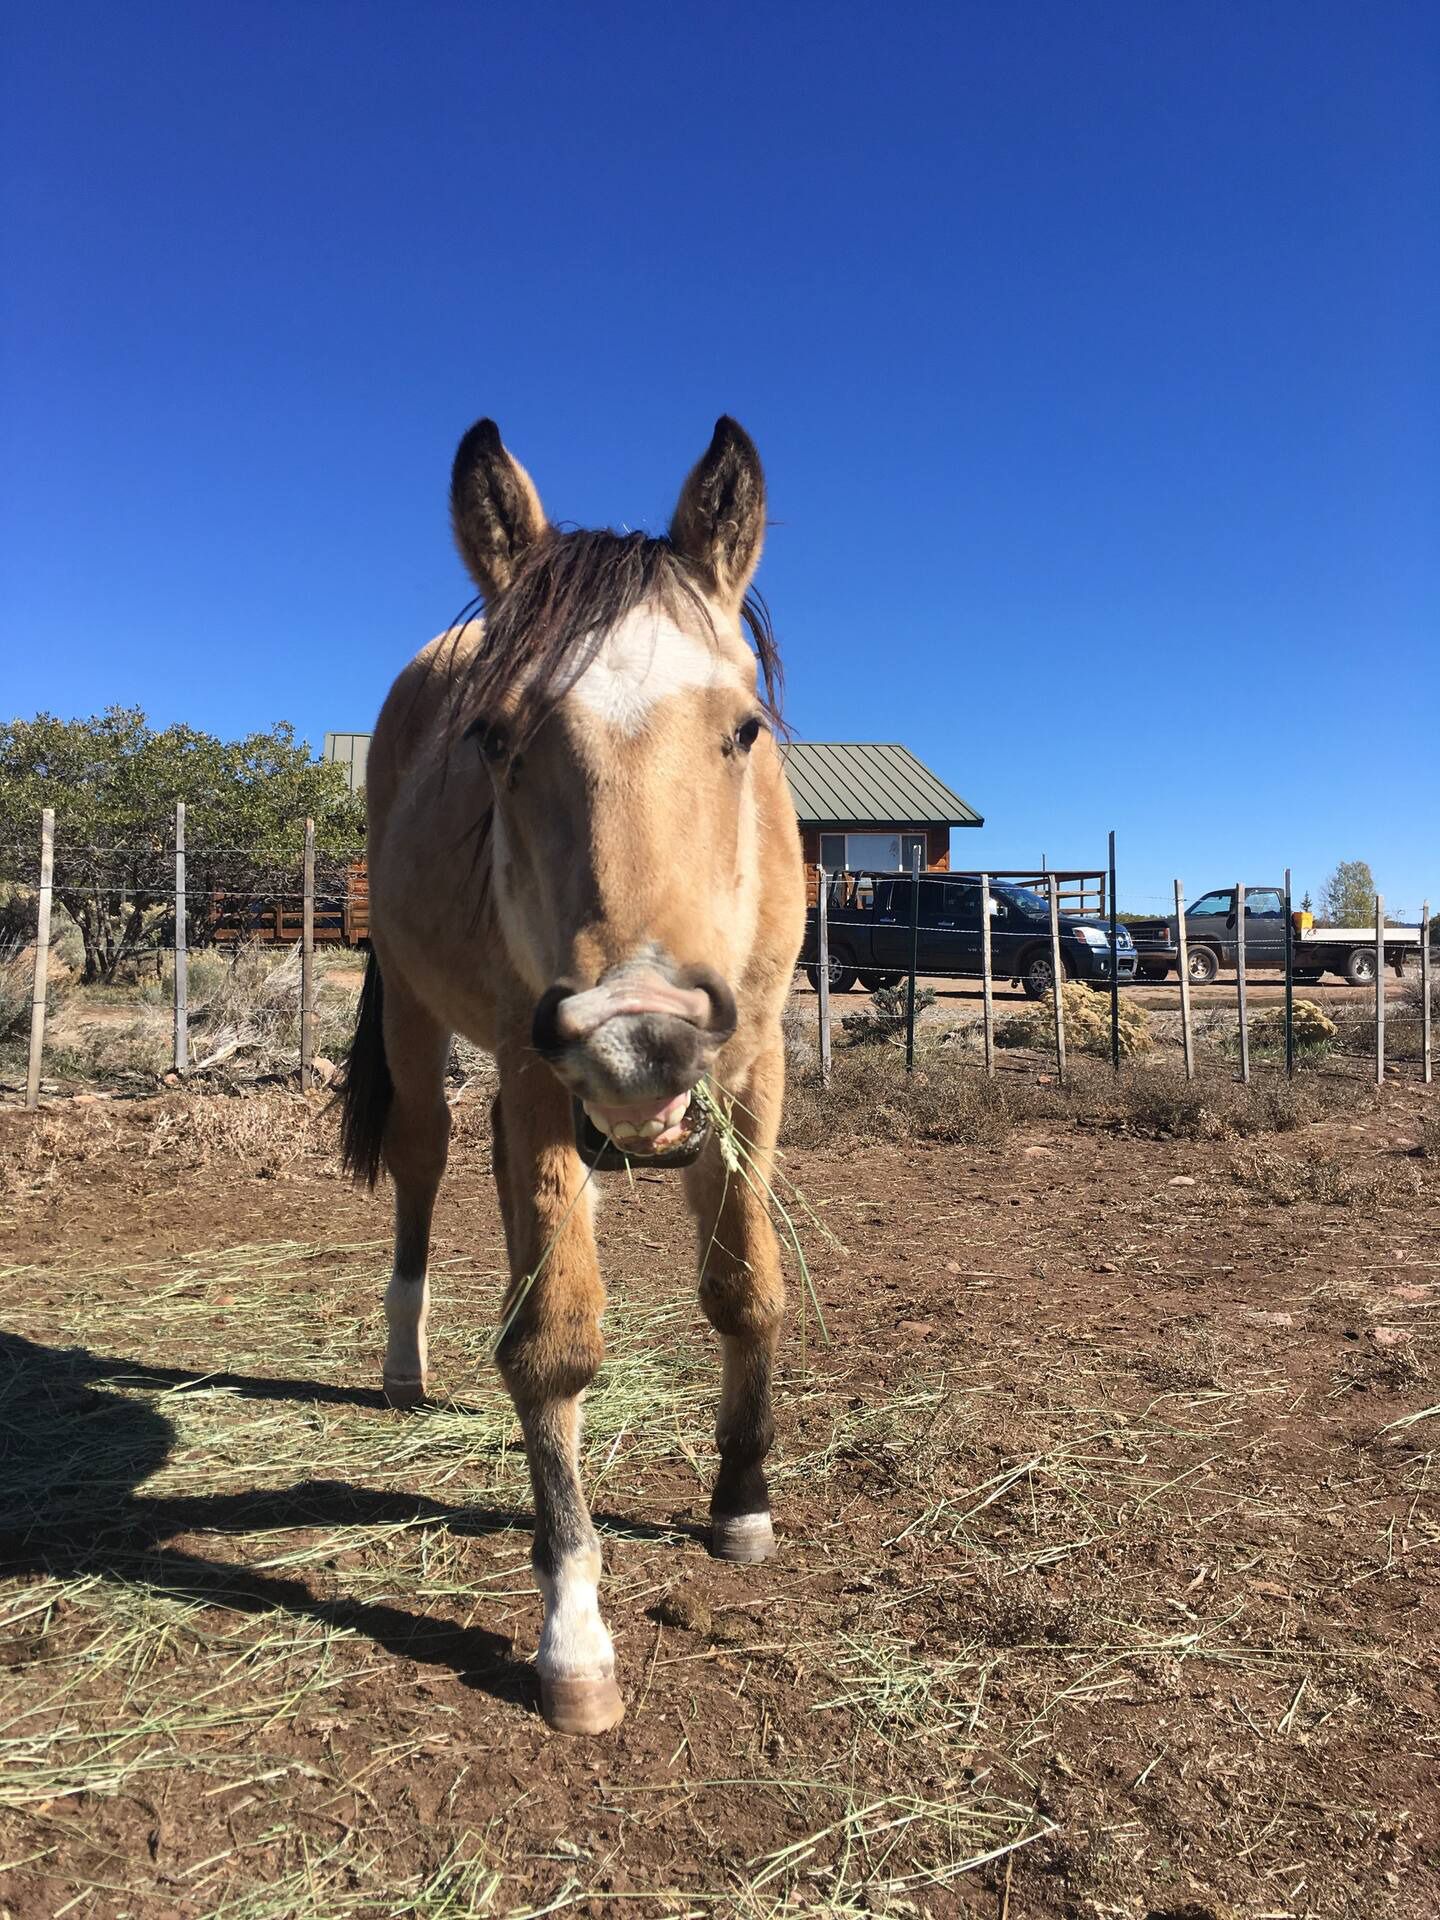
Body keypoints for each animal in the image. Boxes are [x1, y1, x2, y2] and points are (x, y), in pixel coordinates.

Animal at [338, 416, 806, 1734]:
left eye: (743, 728)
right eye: (496, 740)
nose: (636, 1030)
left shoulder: (752, 1065)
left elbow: (744, 1286)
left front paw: (739, 1503)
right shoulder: (544, 1072)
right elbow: (552, 1344)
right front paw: (573, 1632)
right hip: (429, 1027)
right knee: (426, 1168)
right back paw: (404, 1365)